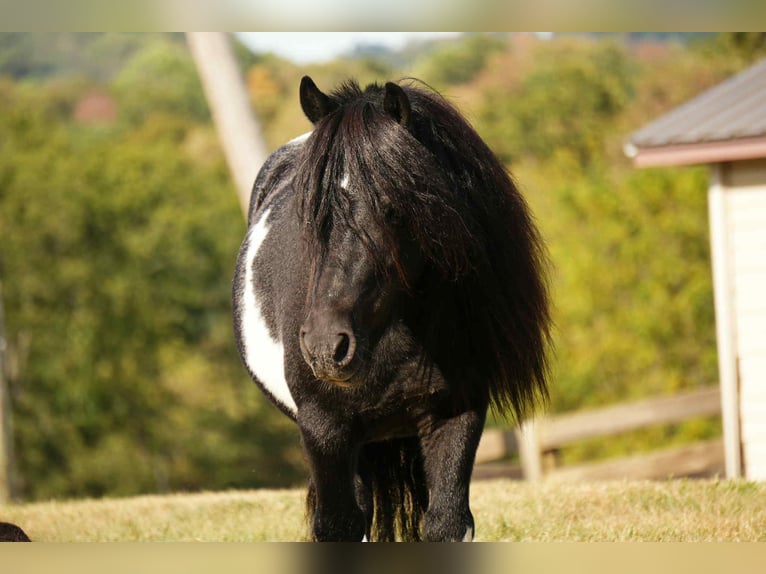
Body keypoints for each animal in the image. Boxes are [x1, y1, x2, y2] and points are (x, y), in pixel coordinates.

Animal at [232, 76, 551, 542]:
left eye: (391, 205)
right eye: (310, 211)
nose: (326, 348)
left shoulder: (457, 414)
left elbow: (446, 522)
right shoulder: (324, 430)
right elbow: (338, 525)